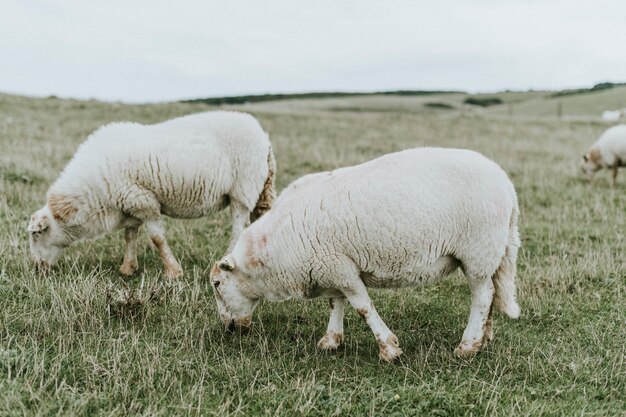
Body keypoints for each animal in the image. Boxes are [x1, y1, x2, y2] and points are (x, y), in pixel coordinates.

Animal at [26, 112, 276, 278]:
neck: (92, 192)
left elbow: (157, 239)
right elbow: (129, 236)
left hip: (242, 190)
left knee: (239, 228)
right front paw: (127, 268)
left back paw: (226, 258)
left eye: (36, 235)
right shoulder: (130, 204)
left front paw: (173, 272)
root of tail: (264, 137)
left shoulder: (144, 202)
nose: (37, 268)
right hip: (260, 190)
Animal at [208, 148, 516, 360]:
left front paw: (389, 349)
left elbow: (363, 306)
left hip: (478, 250)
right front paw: (331, 341)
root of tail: (506, 183)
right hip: (486, 254)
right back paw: (483, 338)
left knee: (482, 296)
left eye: (217, 284)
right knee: (490, 294)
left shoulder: (340, 268)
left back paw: (467, 346)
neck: (271, 250)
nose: (228, 329)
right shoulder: (330, 265)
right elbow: (335, 303)